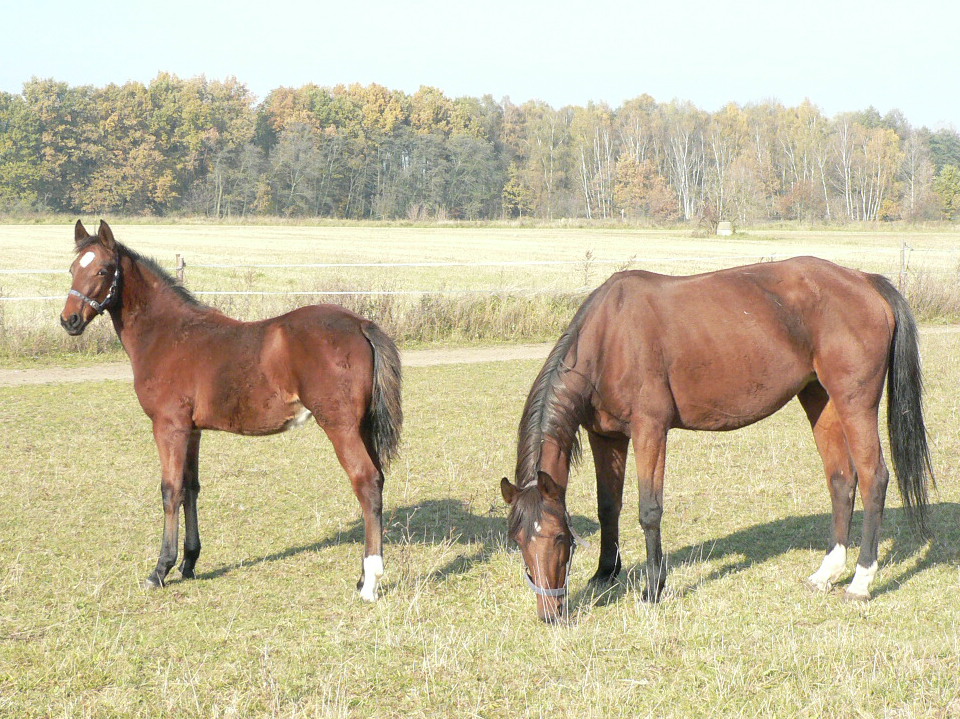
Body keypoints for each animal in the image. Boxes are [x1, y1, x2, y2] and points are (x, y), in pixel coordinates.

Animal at [61, 221, 402, 600]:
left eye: (103, 270)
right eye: (73, 269)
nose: (69, 320)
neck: (168, 334)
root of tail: (359, 324)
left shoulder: (169, 426)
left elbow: (170, 490)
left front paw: (161, 569)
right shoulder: (192, 430)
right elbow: (190, 488)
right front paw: (189, 563)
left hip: (340, 425)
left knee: (366, 481)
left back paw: (370, 582)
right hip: (362, 425)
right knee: (378, 481)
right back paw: (362, 576)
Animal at [498, 258, 932, 624]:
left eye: (559, 538)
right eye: (517, 539)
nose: (550, 613)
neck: (609, 336)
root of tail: (863, 280)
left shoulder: (650, 430)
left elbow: (648, 510)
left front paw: (653, 588)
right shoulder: (605, 437)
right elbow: (609, 507)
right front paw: (606, 573)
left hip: (854, 402)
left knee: (874, 478)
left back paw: (860, 581)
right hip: (820, 399)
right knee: (842, 481)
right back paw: (826, 572)